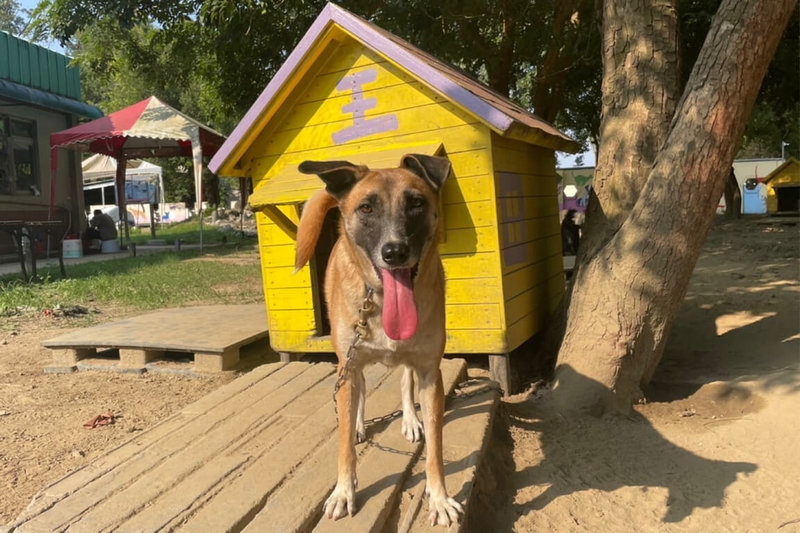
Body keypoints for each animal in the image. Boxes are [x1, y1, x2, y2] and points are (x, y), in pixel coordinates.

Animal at [296, 153, 462, 524]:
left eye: (416, 203)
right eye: (366, 208)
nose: (395, 252)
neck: (384, 301)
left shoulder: (431, 372)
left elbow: (436, 446)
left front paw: (439, 497)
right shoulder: (348, 365)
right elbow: (344, 443)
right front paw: (343, 491)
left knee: (404, 380)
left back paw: (411, 419)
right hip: (350, 363)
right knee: (358, 392)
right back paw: (358, 423)